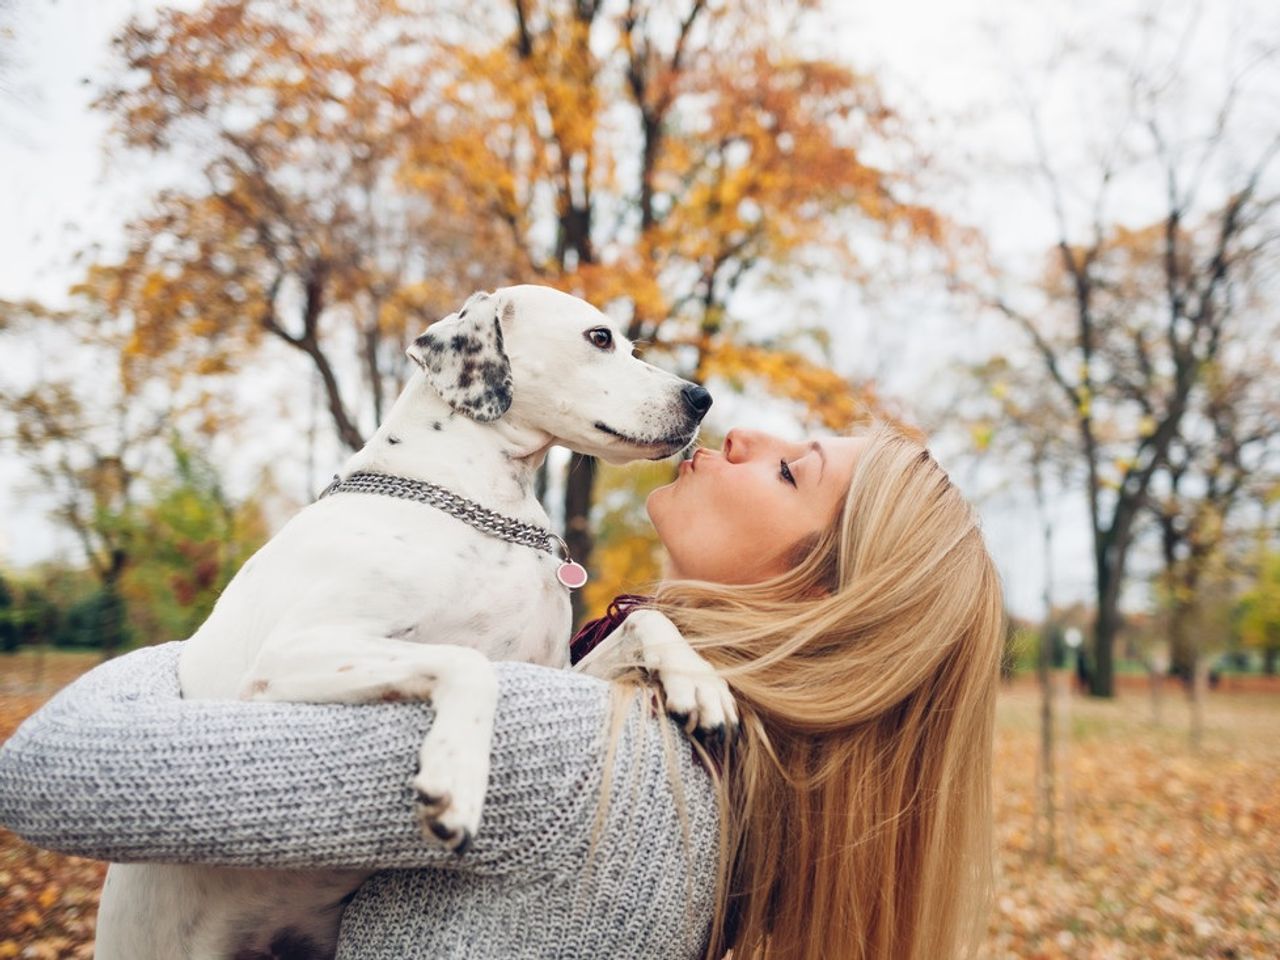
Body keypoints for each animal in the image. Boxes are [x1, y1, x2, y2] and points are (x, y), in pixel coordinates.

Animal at [94, 285, 742, 960]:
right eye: (599, 338)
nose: (701, 398)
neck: (480, 500)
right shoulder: (287, 659)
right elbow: (469, 662)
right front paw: (456, 777)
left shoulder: (552, 676)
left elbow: (646, 625)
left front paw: (699, 683)